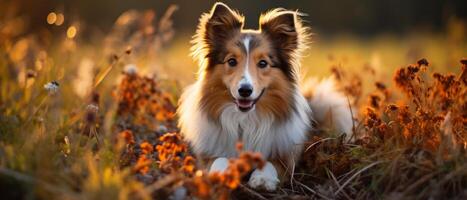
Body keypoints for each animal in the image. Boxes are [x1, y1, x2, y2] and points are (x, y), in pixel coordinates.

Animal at [177, 2, 352, 191]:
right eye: (231, 61)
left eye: (263, 63)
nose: (245, 90)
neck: (245, 120)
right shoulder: (207, 155)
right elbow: (219, 159)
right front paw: (222, 173)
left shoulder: (285, 158)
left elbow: (269, 163)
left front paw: (262, 179)